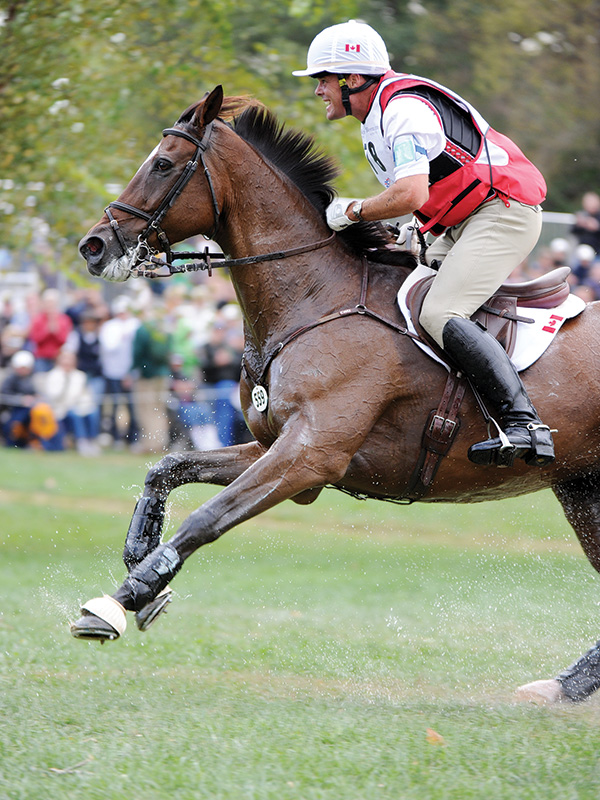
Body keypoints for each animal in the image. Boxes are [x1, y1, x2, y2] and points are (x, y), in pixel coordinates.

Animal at [74, 86, 600, 703]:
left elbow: (205, 518)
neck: (315, 297)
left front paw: (120, 601)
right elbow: (167, 468)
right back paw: (561, 686)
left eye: (162, 164)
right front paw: (142, 561)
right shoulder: (277, 448)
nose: (93, 246)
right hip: (582, 488)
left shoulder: (309, 456)